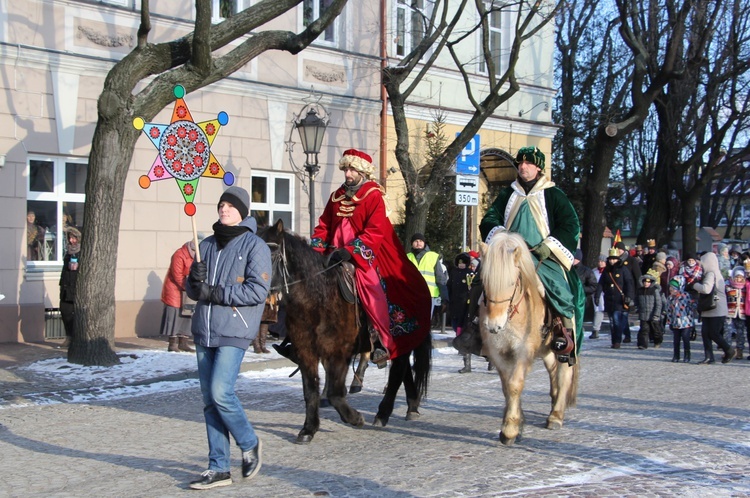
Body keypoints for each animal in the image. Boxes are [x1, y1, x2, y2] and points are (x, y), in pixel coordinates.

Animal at [260, 222, 432, 444]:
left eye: (272, 255)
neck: (319, 299)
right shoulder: (307, 352)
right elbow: (310, 391)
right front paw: (308, 429)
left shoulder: (339, 352)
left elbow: (335, 393)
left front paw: (355, 418)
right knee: (404, 371)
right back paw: (412, 405)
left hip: (398, 338)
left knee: (398, 371)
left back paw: (383, 413)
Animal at [482, 231, 580, 446]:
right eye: (484, 282)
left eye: (512, 282)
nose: (494, 325)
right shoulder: (498, 352)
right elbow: (506, 386)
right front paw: (515, 423)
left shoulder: (523, 350)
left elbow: (515, 385)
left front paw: (510, 430)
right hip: (546, 349)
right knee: (553, 371)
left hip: (565, 348)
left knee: (564, 374)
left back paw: (556, 415)